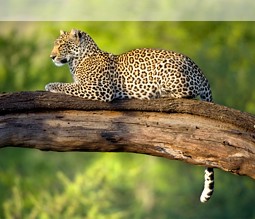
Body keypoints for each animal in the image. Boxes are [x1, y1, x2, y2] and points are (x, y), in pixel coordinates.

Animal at [45, 28, 215, 203]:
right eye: (55, 44)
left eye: (62, 45)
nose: (51, 57)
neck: (77, 61)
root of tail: (199, 70)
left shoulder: (99, 89)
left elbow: (68, 86)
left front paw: (50, 85)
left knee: (186, 94)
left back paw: (160, 94)